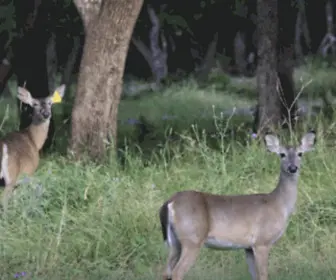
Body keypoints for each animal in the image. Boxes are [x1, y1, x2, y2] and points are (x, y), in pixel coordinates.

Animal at [159, 131, 316, 280]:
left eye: (300, 153)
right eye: (282, 154)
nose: (293, 168)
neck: (280, 204)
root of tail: (170, 202)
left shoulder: (248, 247)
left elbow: (255, 276)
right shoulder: (262, 241)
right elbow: (263, 275)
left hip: (175, 242)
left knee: (165, 271)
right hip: (192, 238)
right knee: (177, 272)